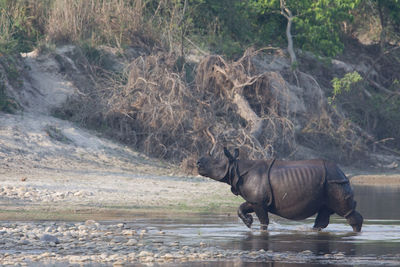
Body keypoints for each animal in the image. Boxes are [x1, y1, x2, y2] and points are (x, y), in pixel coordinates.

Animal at [198, 148, 364, 233]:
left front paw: (260, 229)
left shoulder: (259, 202)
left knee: (346, 212)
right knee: (324, 212)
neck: (235, 167)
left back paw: (356, 234)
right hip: (329, 183)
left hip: (334, 182)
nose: (198, 163)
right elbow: (242, 208)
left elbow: (264, 221)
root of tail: (343, 172)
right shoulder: (256, 200)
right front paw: (249, 222)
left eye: (214, 162)